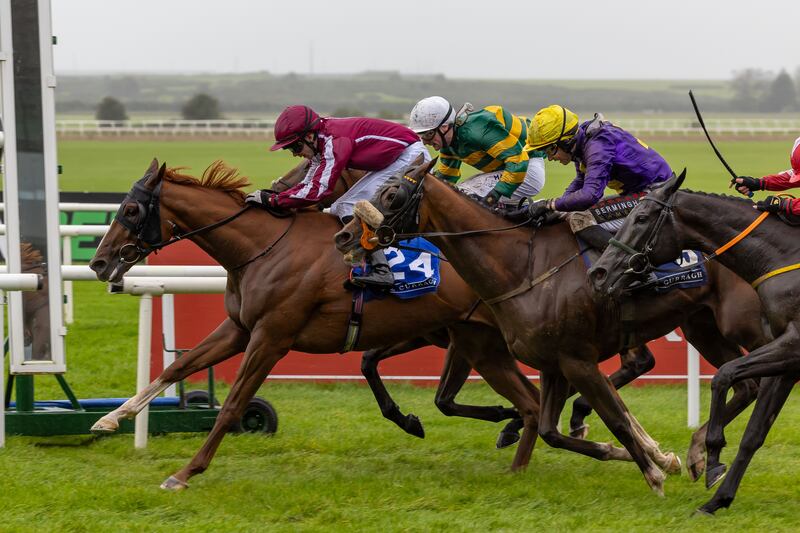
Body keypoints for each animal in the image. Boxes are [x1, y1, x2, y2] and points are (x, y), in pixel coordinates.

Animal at [90, 157, 548, 486]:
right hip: (475, 340)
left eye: (131, 208)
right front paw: (111, 418)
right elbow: (179, 366)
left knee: (534, 395)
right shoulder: (239, 330)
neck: (260, 247)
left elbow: (233, 404)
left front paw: (186, 472)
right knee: (526, 399)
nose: (98, 262)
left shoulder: (271, 338)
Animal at [332, 159, 768, 494]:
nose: (344, 235)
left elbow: (612, 416)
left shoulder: (575, 359)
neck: (521, 267)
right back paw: (698, 453)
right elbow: (549, 429)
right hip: (704, 326)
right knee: (745, 384)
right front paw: (633, 454)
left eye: (391, 196)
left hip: (746, 325)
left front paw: (654, 471)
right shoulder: (549, 360)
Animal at [588, 171, 792, 516]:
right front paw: (716, 494)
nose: (599, 272)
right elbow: (753, 431)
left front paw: (709, 458)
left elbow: (723, 376)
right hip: (704, 328)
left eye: (641, 217)